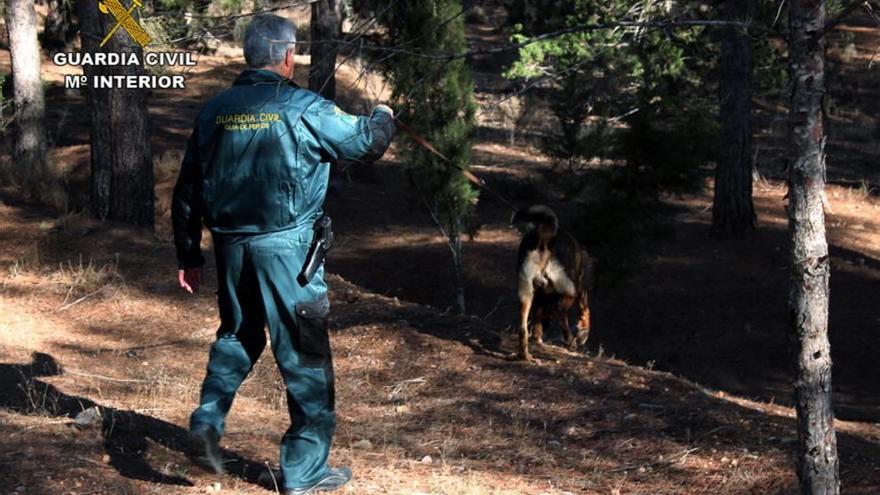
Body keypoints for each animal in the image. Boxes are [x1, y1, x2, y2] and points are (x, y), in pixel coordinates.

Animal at [516, 203, 592, 362]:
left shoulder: (541, 298)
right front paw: (583, 332)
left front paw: (537, 337)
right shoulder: (580, 288)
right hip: (569, 289)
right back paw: (569, 341)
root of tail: (544, 238)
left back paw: (526, 355)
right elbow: (586, 310)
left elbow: (539, 319)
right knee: (561, 310)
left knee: (523, 329)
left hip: (526, 294)